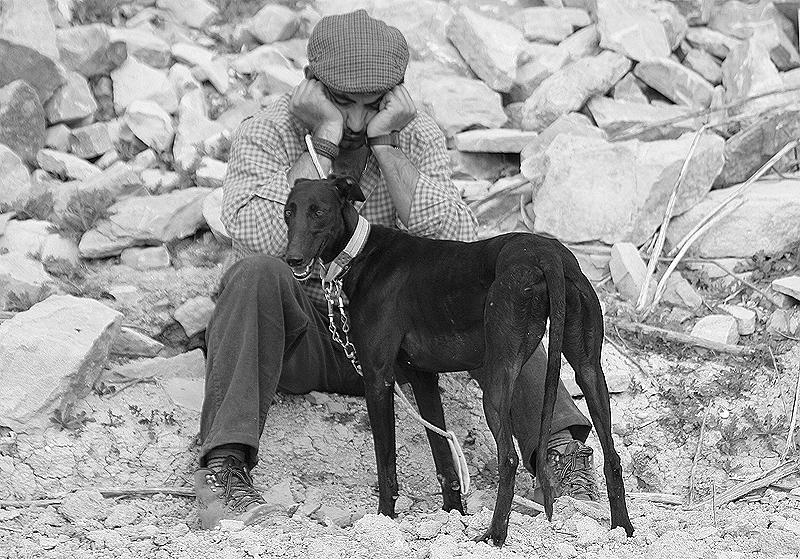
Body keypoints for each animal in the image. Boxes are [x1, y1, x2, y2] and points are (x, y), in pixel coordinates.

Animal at [282, 176, 632, 548]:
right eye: (289, 211)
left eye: (319, 212)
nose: (292, 259)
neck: (361, 251)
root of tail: (546, 254)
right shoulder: (424, 378)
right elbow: (443, 456)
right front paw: (453, 513)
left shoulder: (377, 379)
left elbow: (386, 463)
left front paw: (384, 520)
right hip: (589, 369)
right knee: (612, 456)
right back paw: (623, 530)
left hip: (498, 379)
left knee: (509, 458)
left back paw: (494, 534)